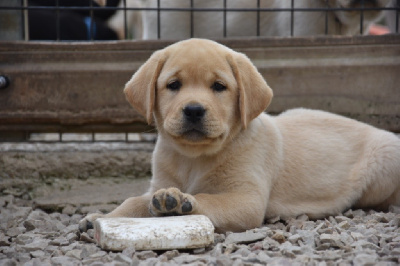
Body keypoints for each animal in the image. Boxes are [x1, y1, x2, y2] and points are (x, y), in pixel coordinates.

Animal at [79, 38, 398, 232]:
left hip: (381, 173)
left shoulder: (247, 198)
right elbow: (134, 201)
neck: (193, 158)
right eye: (173, 85)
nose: (193, 110)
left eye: (219, 87)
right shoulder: (157, 183)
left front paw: (181, 203)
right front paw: (101, 217)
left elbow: (211, 200)